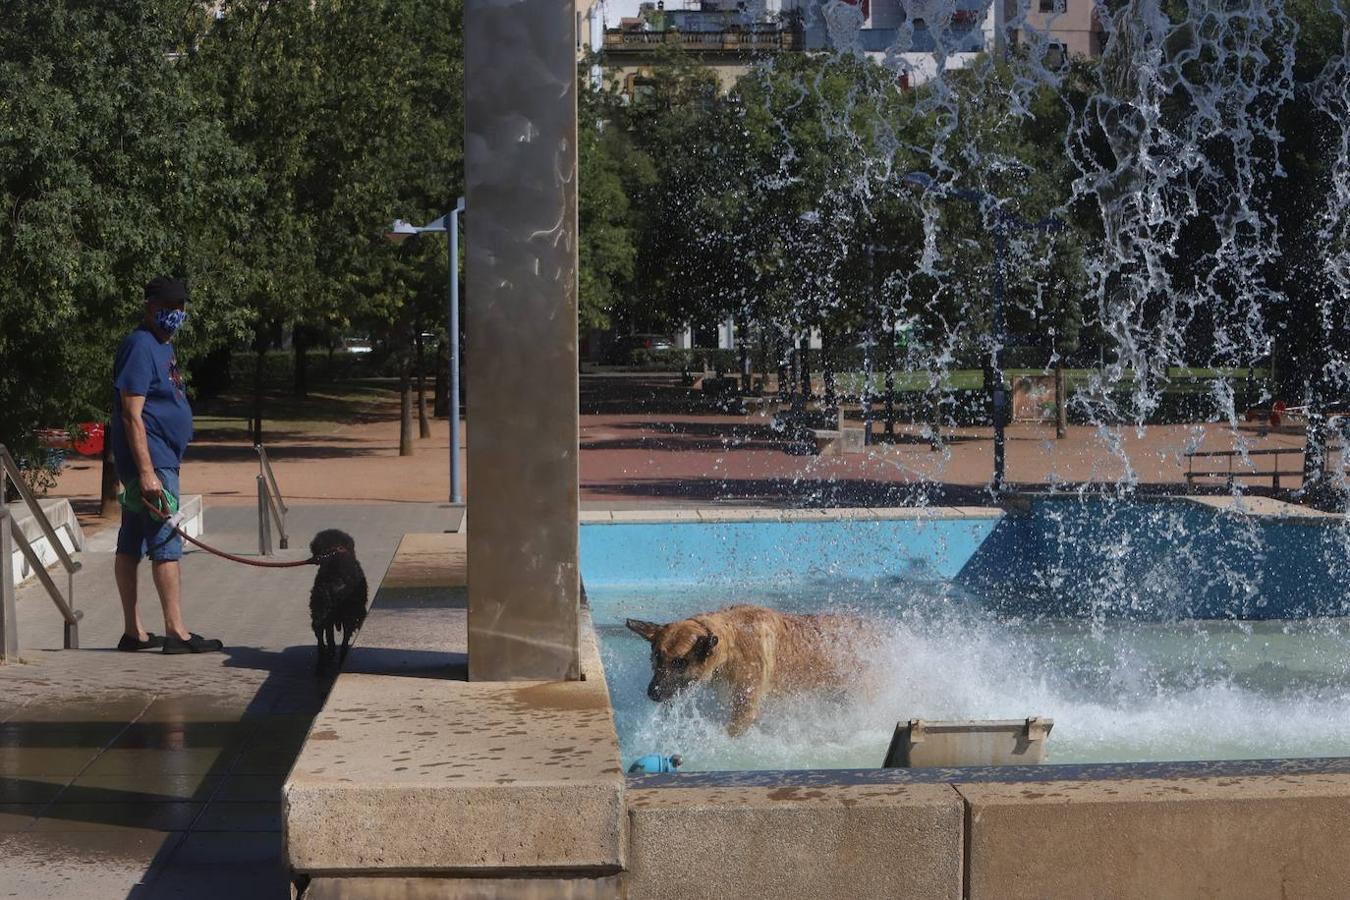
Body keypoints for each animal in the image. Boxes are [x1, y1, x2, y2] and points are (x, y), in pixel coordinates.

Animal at [307, 528, 367, 674]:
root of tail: (335, 582)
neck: (335, 551)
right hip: (349, 615)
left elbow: (329, 638)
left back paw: (321, 665)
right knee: (344, 642)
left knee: (321, 641)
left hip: (319, 612)